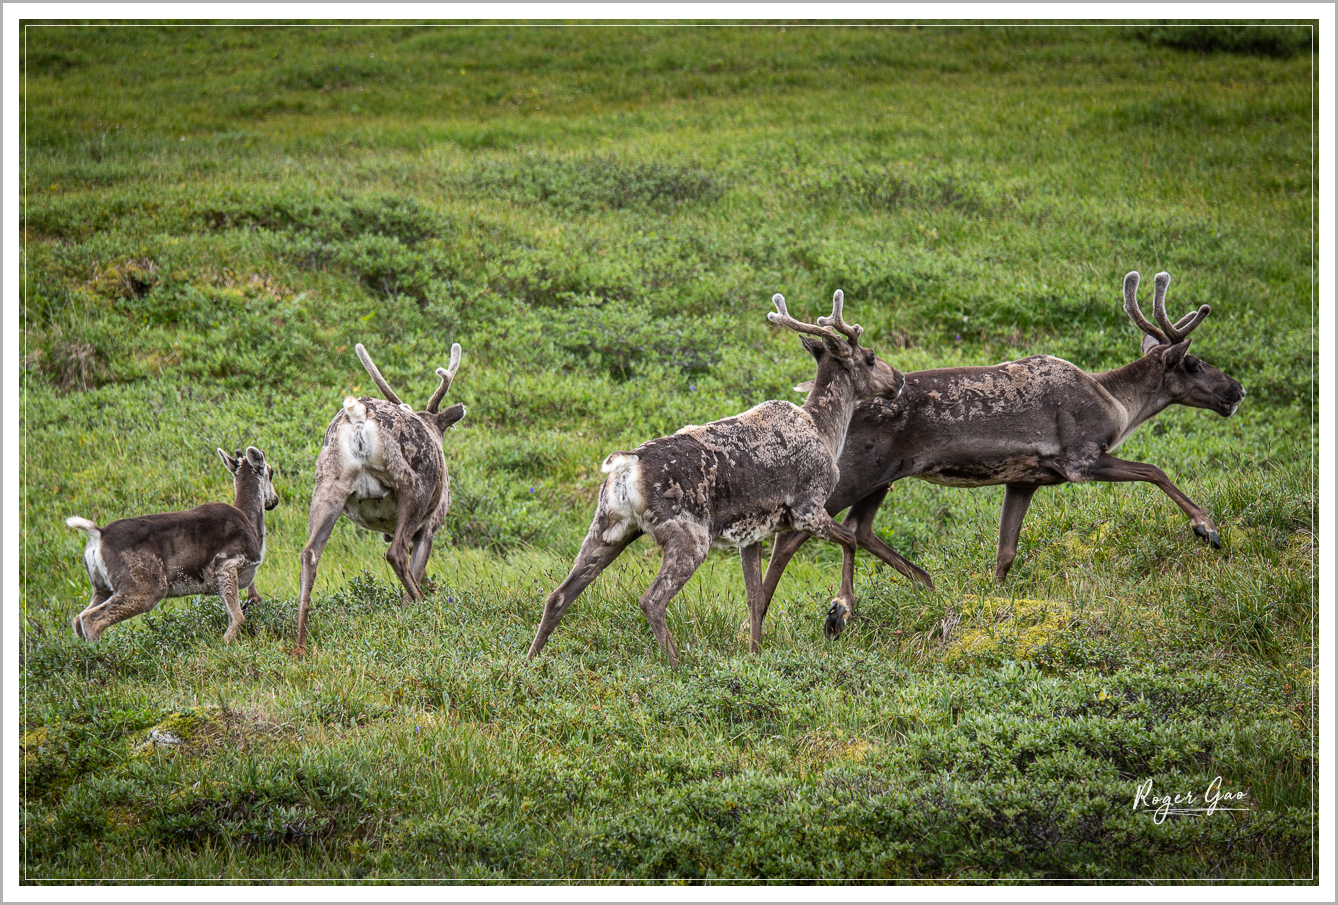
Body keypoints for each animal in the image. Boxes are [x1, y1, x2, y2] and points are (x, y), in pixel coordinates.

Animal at [67, 444, 279, 642]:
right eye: (271, 472)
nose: (274, 501)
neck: (250, 521)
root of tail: (99, 534)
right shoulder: (226, 564)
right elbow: (238, 619)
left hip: (102, 587)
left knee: (78, 618)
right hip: (144, 588)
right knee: (91, 619)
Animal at [298, 342, 470, 653]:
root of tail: (358, 417)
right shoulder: (430, 526)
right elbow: (418, 567)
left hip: (328, 483)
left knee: (310, 553)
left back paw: (300, 646)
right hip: (413, 487)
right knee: (395, 553)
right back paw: (423, 606)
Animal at [527, 291, 904, 664]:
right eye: (870, 357)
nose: (898, 379)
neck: (826, 431)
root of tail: (625, 466)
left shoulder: (753, 534)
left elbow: (756, 597)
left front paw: (755, 655)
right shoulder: (807, 508)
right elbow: (850, 540)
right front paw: (839, 613)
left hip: (609, 526)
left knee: (559, 595)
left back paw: (529, 661)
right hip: (689, 536)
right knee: (652, 600)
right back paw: (677, 665)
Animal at [765, 269, 1252, 621]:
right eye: (1193, 363)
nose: (1237, 390)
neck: (1117, 404)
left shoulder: (1026, 479)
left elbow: (1006, 552)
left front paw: (995, 599)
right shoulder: (1081, 458)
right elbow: (1156, 471)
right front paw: (1206, 528)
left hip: (885, 474)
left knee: (859, 528)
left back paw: (926, 585)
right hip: (856, 471)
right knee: (793, 538)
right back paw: (813, 614)